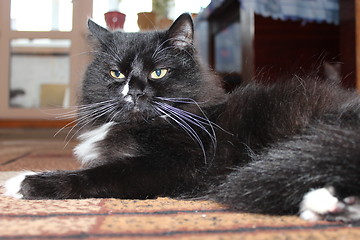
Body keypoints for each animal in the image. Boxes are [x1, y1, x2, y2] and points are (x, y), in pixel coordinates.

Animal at [4, 13, 360, 223]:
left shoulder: (175, 165)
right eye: (116, 73)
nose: (134, 91)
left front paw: (26, 181)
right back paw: (328, 206)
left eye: (158, 72)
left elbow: (100, 174)